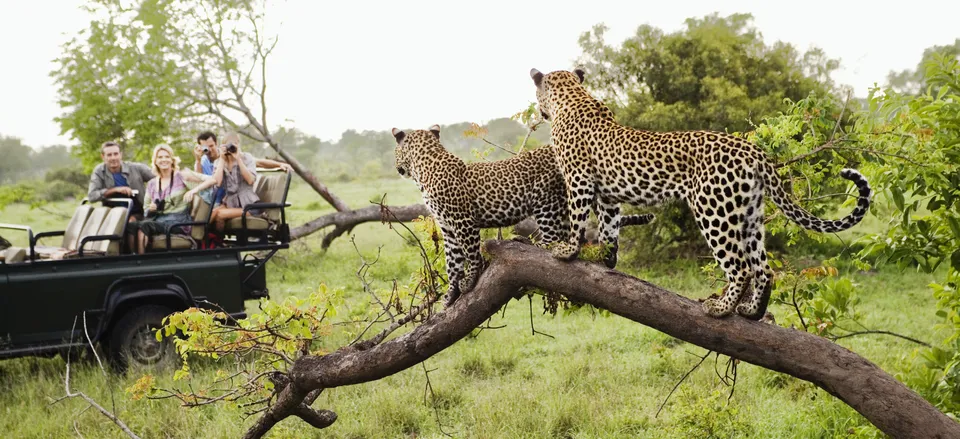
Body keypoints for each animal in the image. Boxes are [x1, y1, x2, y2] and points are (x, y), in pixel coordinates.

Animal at [390, 124, 652, 306]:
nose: (397, 168)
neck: (425, 169)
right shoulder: (447, 227)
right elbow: (452, 262)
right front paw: (450, 294)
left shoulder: (463, 222)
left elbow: (471, 254)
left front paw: (470, 279)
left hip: (546, 200)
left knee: (554, 238)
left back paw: (530, 242)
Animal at [528, 68, 872, 320]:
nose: (539, 111)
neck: (573, 96)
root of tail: (754, 151)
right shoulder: (609, 195)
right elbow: (609, 227)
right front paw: (606, 259)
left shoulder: (578, 179)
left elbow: (577, 218)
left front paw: (567, 250)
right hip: (749, 215)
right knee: (763, 268)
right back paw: (750, 311)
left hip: (714, 210)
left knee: (741, 267)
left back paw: (720, 309)